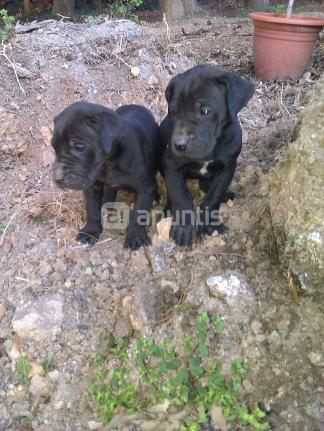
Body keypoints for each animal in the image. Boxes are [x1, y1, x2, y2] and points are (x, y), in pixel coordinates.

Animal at [52, 100, 162, 250]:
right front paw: (90, 232)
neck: (109, 163)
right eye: (54, 147)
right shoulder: (92, 186)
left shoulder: (144, 189)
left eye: (80, 147)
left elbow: (139, 213)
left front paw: (135, 238)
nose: (57, 178)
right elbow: (92, 210)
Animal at [161, 64, 254, 246]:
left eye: (204, 111)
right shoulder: (171, 164)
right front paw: (184, 228)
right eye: (173, 112)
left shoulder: (227, 167)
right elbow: (180, 195)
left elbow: (213, 197)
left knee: (207, 186)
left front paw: (211, 223)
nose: (179, 145)